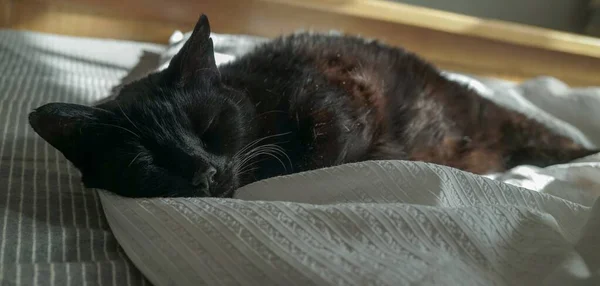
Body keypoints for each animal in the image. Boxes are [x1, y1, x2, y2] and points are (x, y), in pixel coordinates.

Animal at [29, 14, 600, 198]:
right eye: (144, 161)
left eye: (208, 125)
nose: (203, 172)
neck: (258, 99)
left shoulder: (341, 95)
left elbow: (321, 151)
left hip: (499, 120)